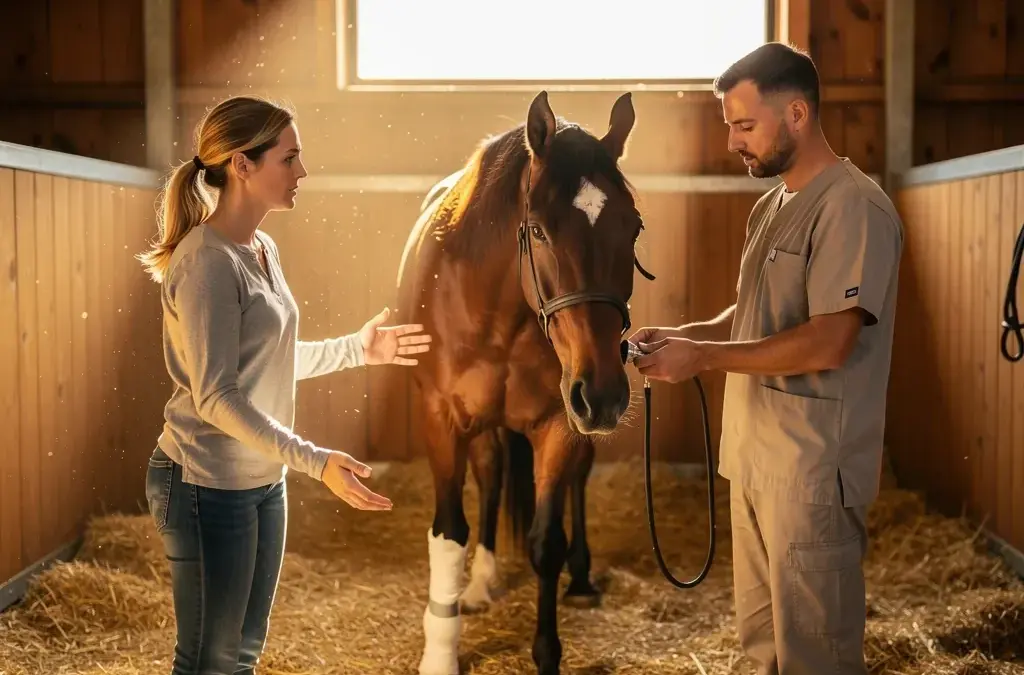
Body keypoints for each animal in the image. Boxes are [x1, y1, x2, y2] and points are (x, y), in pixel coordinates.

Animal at [395, 90, 655, 675]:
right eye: (537, 229)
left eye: (633, 228)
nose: (604, 395)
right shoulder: (441, 421)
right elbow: (449, 534)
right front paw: (441, 652)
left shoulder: (559, 423)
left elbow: (546, 543)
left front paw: (547, 652)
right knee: (491, 477)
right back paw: (480, 583)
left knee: (575, 480)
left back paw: (580, 579)